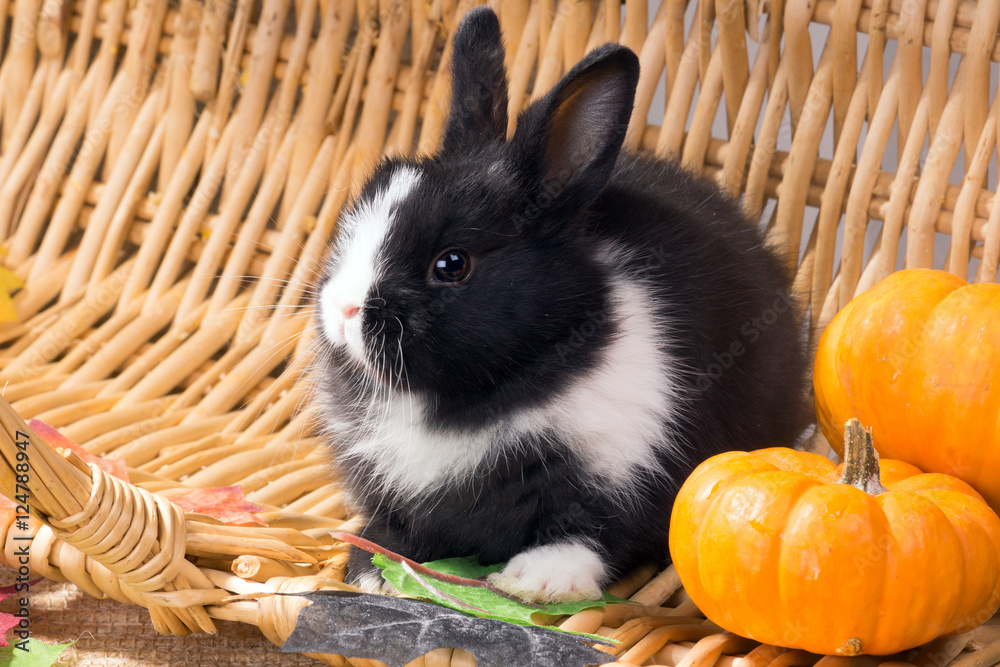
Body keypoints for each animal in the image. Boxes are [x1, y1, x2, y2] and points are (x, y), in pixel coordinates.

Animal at [313, 6, 809, 604]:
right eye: (355, 215)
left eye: (452, 264)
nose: (342, 311)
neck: (461, 401)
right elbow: (400, 525)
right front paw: (372, 568)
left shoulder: (621, 467)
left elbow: (588, 530)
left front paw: (537, 582)